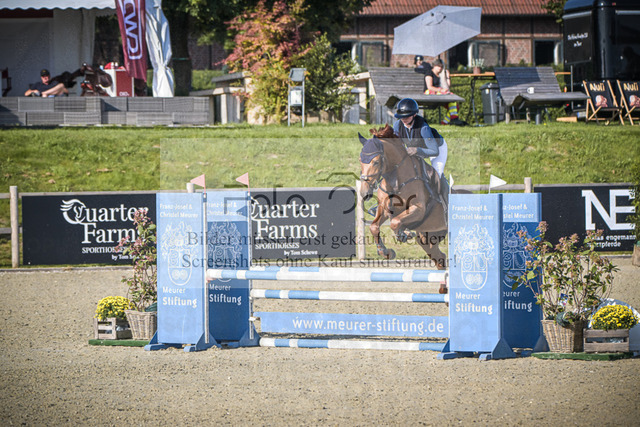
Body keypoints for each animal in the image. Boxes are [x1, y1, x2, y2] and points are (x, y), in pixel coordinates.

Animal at [358, 125, 448, 269]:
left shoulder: (418, 209)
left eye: (376, 162)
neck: (395, 180)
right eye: (360, 161)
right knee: (440, 258)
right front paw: (386, 252)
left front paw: (404, 234)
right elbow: (374, 226)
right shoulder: (384, 208)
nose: (364, 193)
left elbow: (395, 222)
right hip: (427, 237)